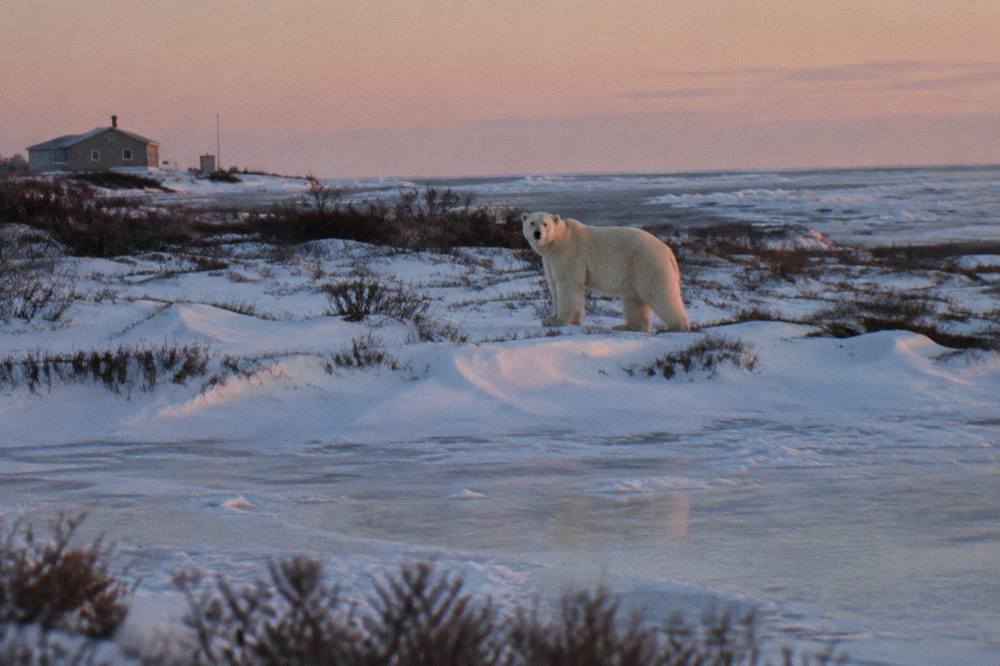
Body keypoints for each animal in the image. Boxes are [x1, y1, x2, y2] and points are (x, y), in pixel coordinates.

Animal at [522, 212, 691, 332]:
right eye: (531, 222)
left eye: (545, 224)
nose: (537, 233)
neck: (559, 240)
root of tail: (668, 252)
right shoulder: (550, 262)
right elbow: (554, 285)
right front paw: (549, 319)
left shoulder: (569, 255)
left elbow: (568, 285)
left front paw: (559, 321)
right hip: (634, 270)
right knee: (633, 299)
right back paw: (626, 326)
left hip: (647, 263)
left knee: (658, 292)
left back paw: (677, 325)